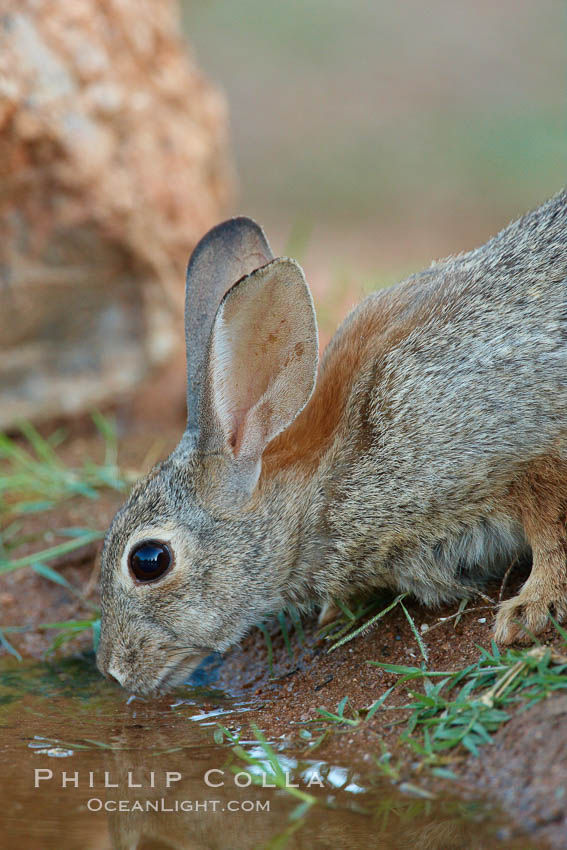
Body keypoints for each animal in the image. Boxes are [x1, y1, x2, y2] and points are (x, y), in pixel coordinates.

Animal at [96, 189, 567, 692]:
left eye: (149, 560)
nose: (113, 670)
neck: (324, 482)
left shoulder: (519, 440)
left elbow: (550, 531)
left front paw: (530, 610)